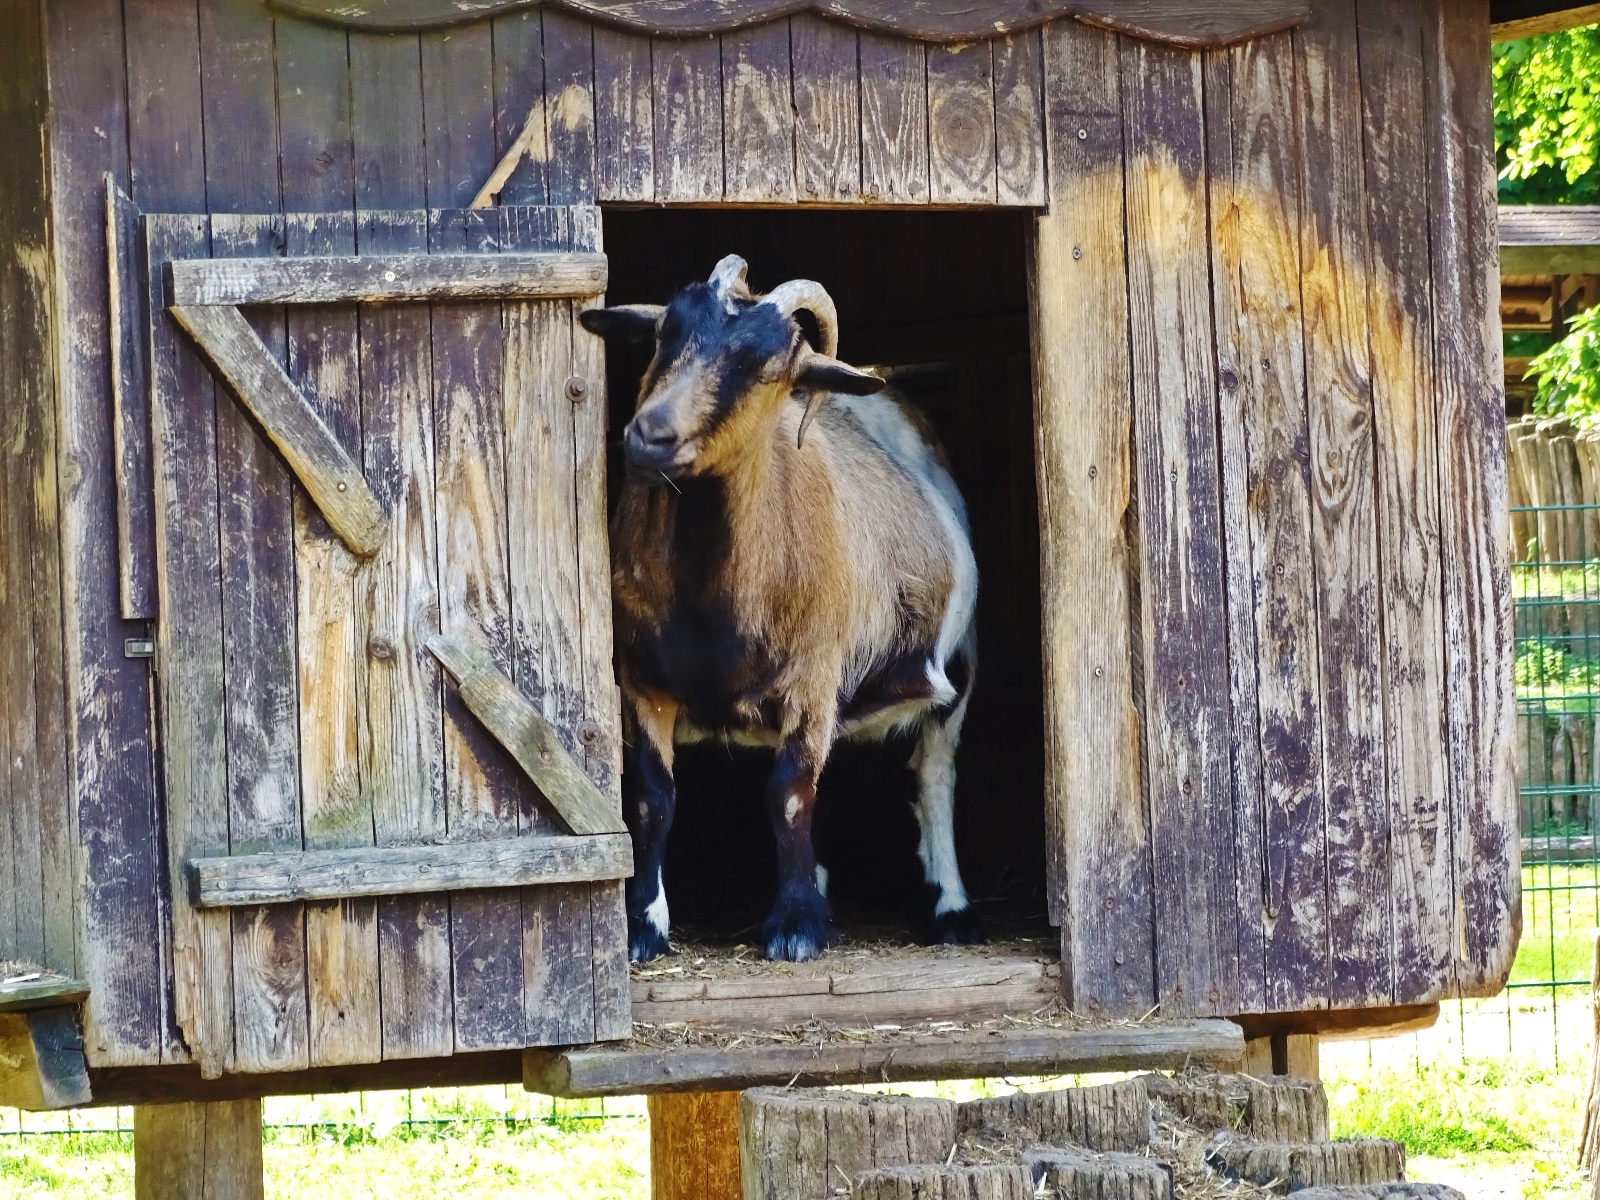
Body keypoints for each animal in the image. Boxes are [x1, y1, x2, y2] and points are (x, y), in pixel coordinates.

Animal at [579, 256, 972, 966]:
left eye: (765, 366)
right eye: (665, 333)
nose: (650, 435)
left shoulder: (813, 680)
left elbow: (789, 794)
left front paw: (795, 926)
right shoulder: (644, 681)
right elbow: (653, 796)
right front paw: (644, 925)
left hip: (956, 663)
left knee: (933, 772)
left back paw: (950, 909)